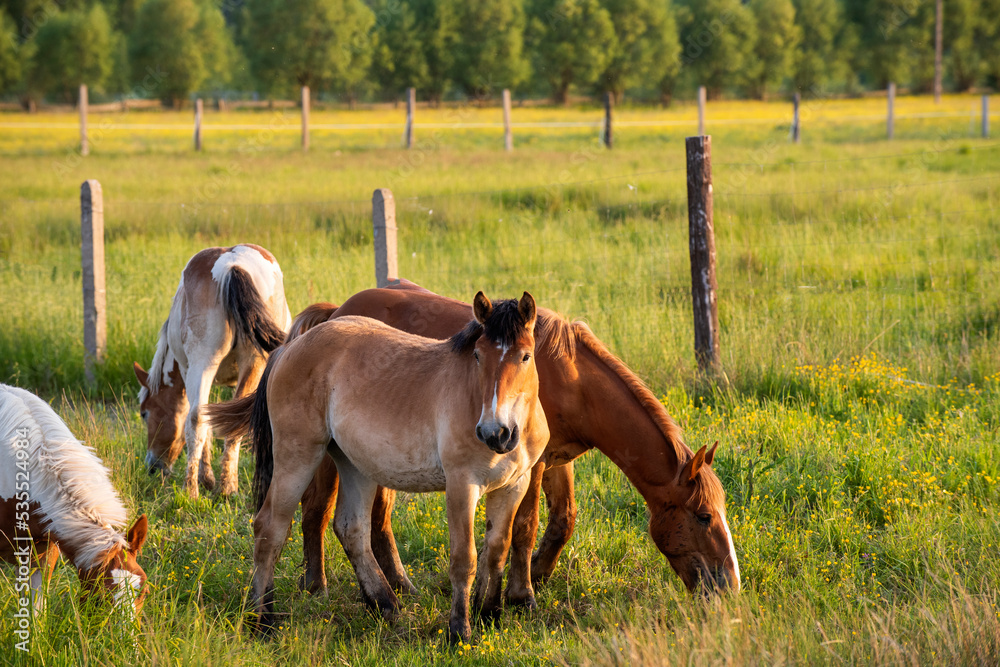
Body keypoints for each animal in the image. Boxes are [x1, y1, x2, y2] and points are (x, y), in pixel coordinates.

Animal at [133, 243, 292, 498]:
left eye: (144, 413)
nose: (153, 467)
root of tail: (232, 265)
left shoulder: (187, 370)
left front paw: (205, 477)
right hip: (251, 363)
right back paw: (227, 488)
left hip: (203, 363)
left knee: (196, 418)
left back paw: (191, 490)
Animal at [208, 292, 549, 642]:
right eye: (478, 355)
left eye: (525, 356)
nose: (495, 433)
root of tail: (289, 347)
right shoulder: (461, 486)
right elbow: (463, 558)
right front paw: (459, 630)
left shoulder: (514, 485)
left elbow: (496, 550)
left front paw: (490, 613)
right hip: (298, 456)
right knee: (270, 528)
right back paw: (262, 619)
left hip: (353, 464)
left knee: (351, 529)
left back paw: (386, 604)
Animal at [279, 281, 740, 605]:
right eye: (703, 516)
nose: (731, 584)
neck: (572, 377)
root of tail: (336, 313)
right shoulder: (530, 464)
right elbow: (526, 526)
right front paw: (521, 595)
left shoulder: (556, 459)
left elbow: (561, 521)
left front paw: (535, 575)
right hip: (332, 454)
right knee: (317, 509)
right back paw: (317, 586)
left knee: (377, 520)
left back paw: (398, 587)